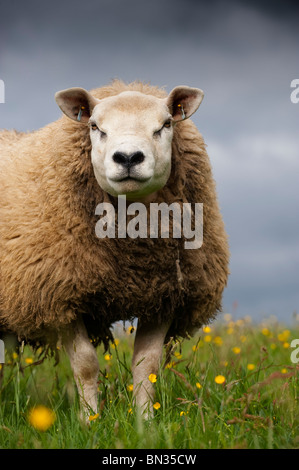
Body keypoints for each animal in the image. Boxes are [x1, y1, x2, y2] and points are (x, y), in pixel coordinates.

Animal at [0, 81, 230, 418]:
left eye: (166, 124)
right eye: (95, 127)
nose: (128, 157)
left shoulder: (165, 296)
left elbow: (147, 365)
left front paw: (146, 420)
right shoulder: (58, 295)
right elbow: (85, 365)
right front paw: (90, 420)